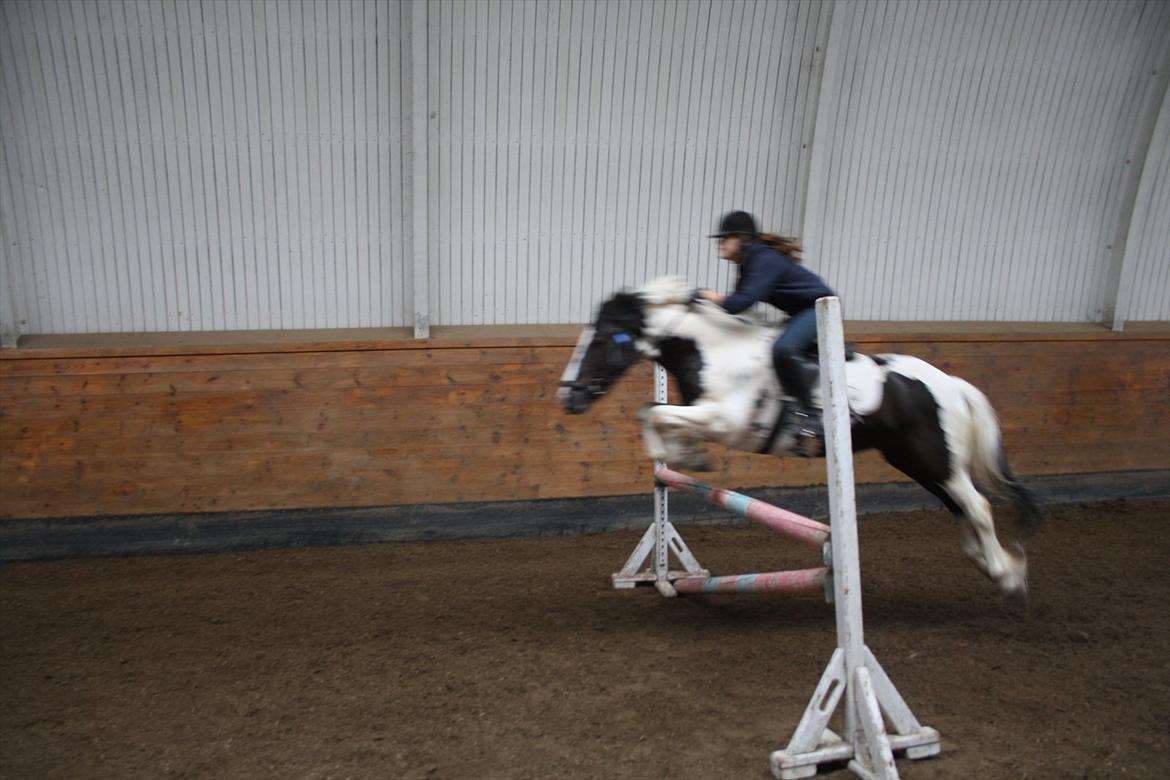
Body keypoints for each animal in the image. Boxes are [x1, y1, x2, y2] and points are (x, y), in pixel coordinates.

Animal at [561, 277, 1038, 594]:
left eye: (603, 338)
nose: (568, 397)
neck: (714, 350)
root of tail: (950, 384)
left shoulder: (725, 420)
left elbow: (655, 414)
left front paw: (684, 455)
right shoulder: (702, 413)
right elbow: (653, 413)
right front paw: (684, 457)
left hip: (933, 458)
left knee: (976, 505)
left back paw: (1007, 575)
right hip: (916, 460)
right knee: (959, 504)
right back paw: (987, 561)